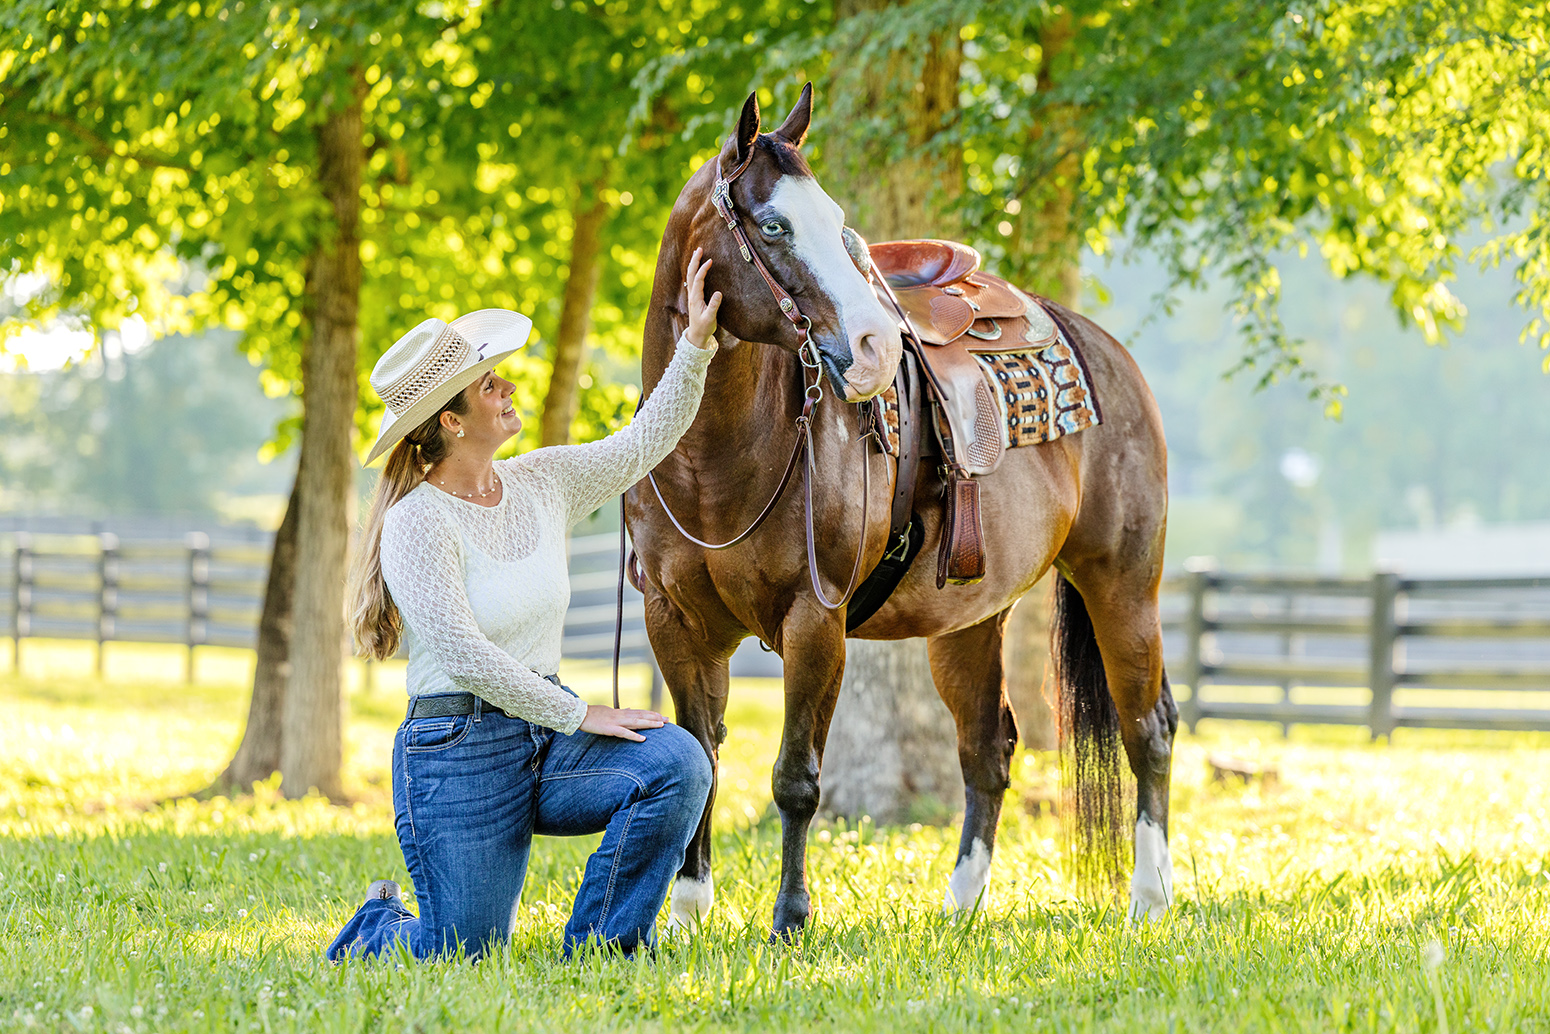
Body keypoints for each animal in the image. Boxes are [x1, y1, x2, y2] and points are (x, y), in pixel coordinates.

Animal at [623, 83, 1176, 939]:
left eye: (838, 220)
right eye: (773, 226)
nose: (876, 348)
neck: (710, 464)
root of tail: (1105, 350)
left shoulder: (813, 623)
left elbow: (796, 778)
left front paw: (789, 922)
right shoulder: (675, 623)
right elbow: (699, 760)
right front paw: (683, 917)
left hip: (1121, 585)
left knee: (1144, 730)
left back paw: (1148, 900)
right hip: (971, 620)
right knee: (988, 749)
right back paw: (961, 906)